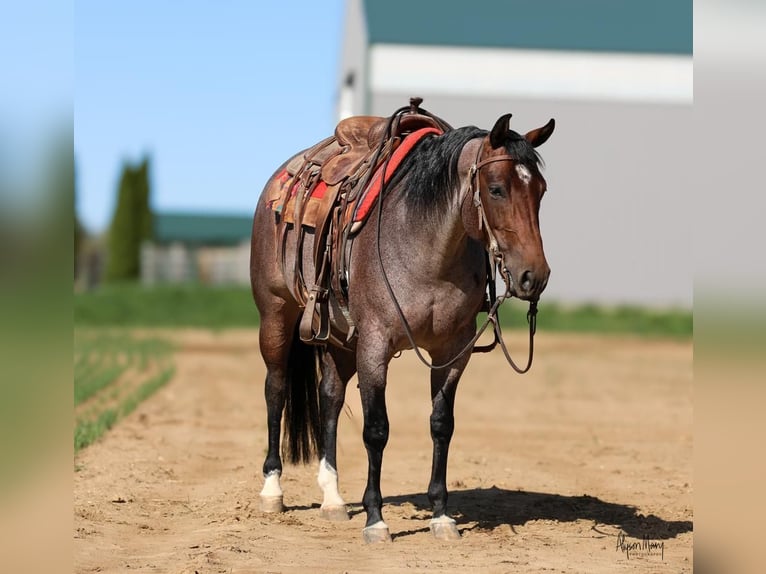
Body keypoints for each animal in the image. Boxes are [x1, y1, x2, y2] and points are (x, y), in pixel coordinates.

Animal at [252, 107, 560, 544]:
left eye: (541, 191)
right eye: (497, 188)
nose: (535, 276)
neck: (425, 245)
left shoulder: (453, 351)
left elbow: (441, 425)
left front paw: (441, 516)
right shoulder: (375, 345)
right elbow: (376, 429)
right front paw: (376, 519)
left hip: (340, 338)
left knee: (329, 397)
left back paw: (333, 499)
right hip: (276, 316)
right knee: (275, 391)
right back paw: (272, 490)